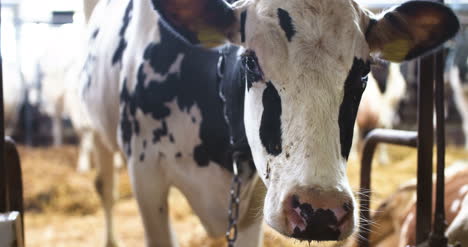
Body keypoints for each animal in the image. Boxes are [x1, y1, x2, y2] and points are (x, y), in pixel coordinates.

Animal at [82, 0, 458, 245]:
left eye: (364, 73)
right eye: (251, 61)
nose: (319, 209)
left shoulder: (254, 201)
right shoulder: (146, 175)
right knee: (106, 189)